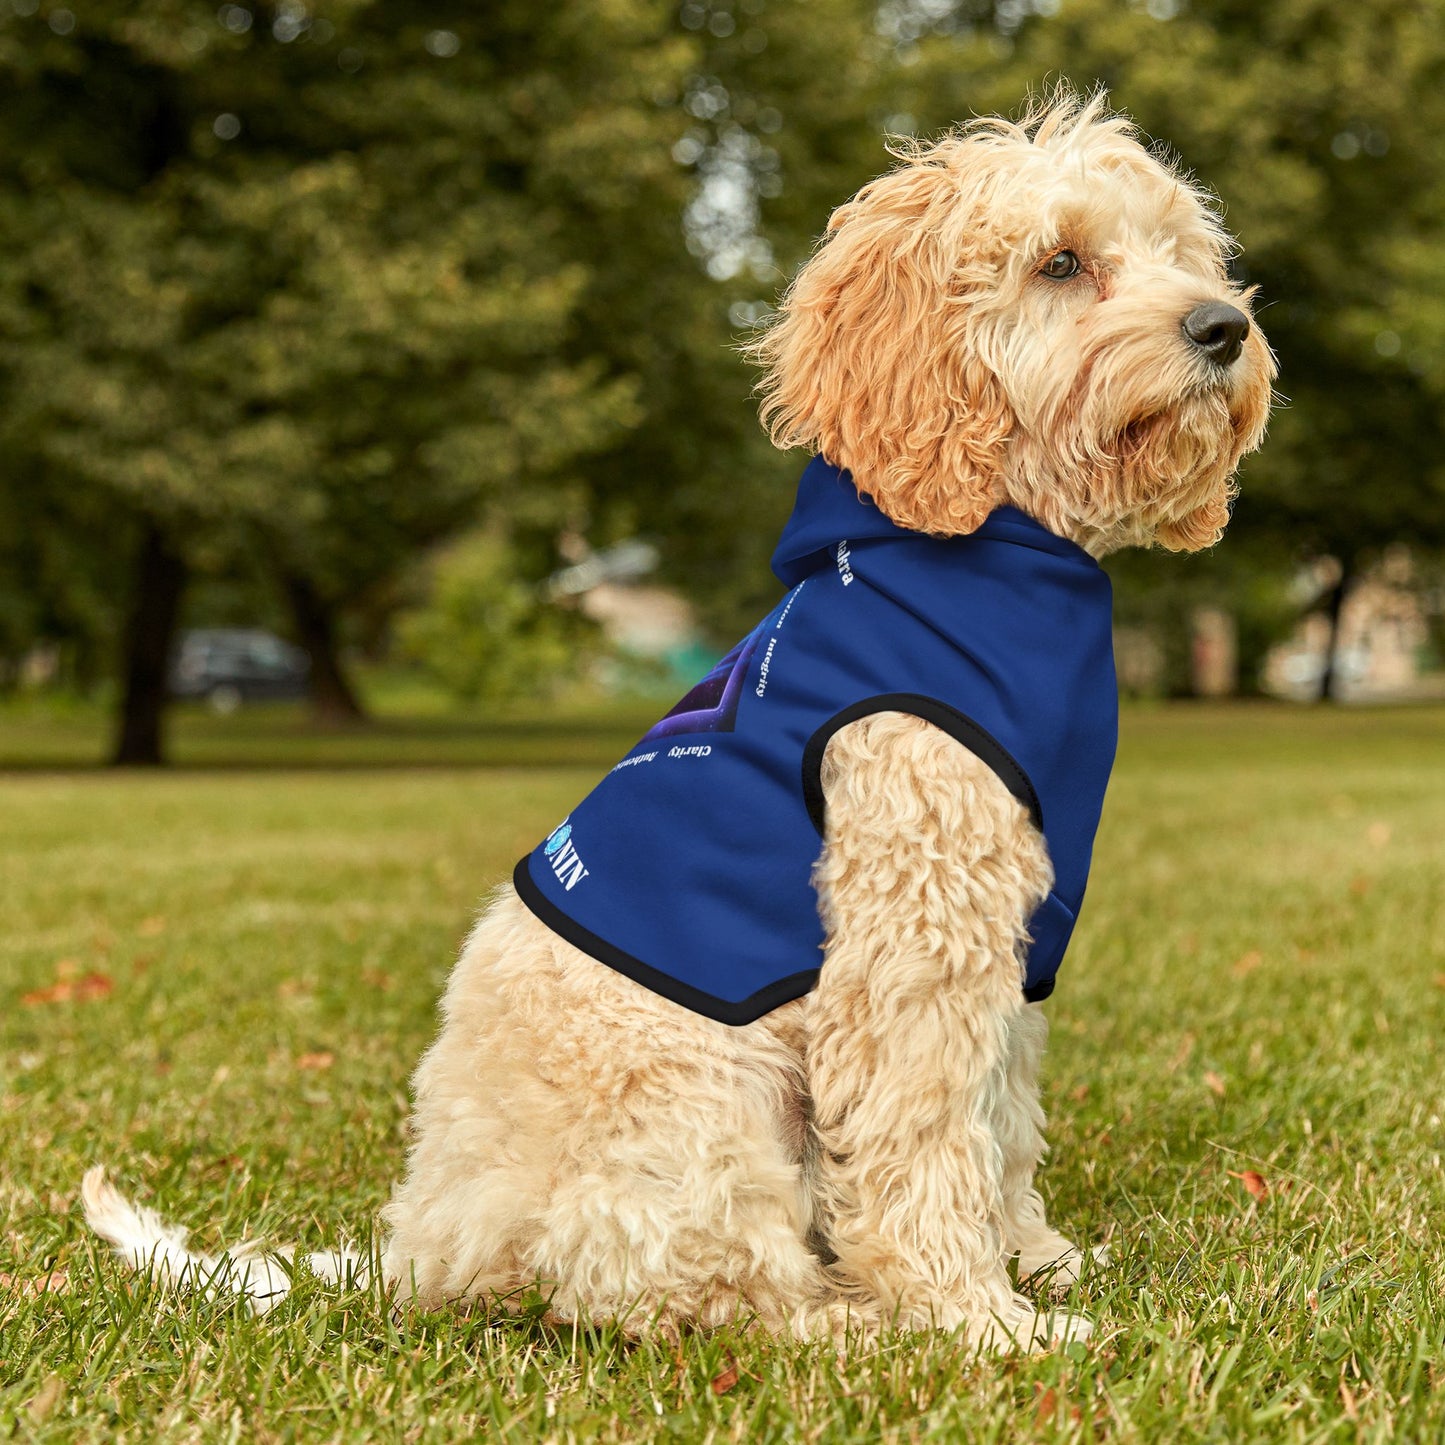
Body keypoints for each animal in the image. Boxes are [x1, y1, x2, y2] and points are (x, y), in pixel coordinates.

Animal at [84, 90, 1271, 1352]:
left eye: (1180, 252)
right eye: (1059, 262)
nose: (1222, 328)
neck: (981, 550)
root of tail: (423, 1247)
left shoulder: (1009, 934)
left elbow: (999, 1118)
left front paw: (1035, 1260)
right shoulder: (912, 933)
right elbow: (924, 1137)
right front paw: (976, 1318)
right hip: (703, 1100)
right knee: (698, 1290)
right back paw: (852, 1322)